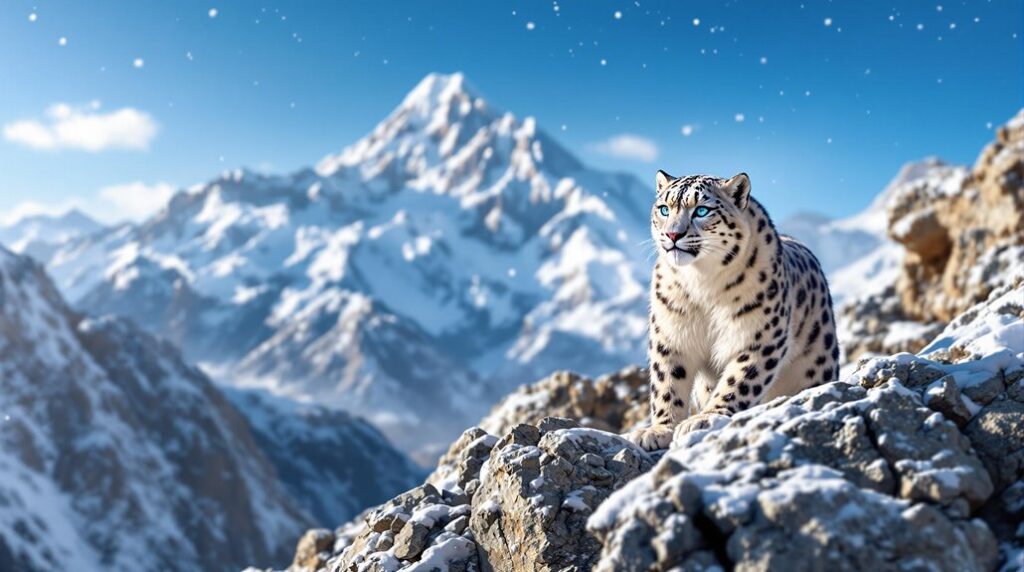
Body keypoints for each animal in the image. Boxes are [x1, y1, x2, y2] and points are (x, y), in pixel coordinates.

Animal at [628, 170, 840, 451]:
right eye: (664, 209)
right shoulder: (671, 336)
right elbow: (668, 383)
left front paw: (704, 419)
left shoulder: (757, 336)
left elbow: (737, 381)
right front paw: (659, 430)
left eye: (702, 210)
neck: (702, 282)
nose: (672, 235)